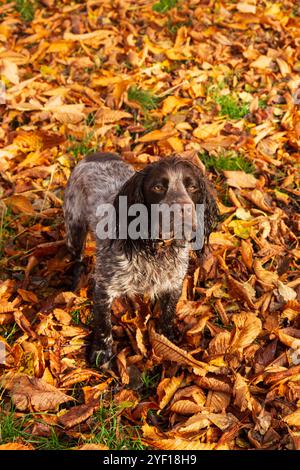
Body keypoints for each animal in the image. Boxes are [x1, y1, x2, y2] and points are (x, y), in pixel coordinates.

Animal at [63, 152, 218, 366]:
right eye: (158, 187)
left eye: (192, 186)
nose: (182, 210)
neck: (156, 249)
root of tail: (97, 154)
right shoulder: (104, 286)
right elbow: (103, 324)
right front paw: (101, 351)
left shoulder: (173, 284)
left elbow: (167, 315)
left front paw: (167, 342)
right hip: (75, 228)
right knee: (77, 257)